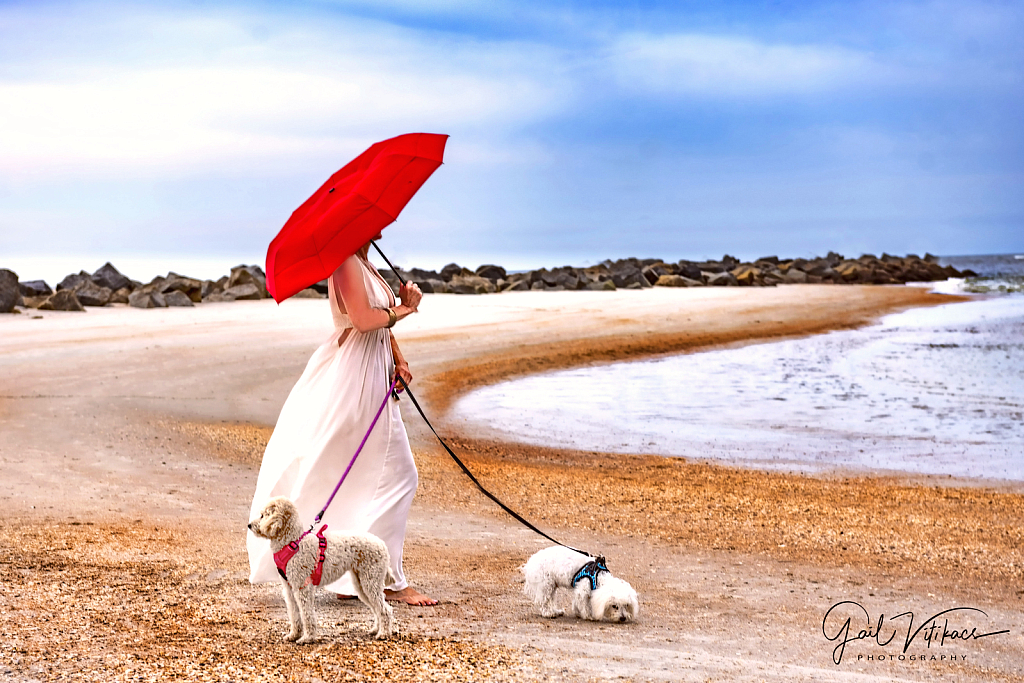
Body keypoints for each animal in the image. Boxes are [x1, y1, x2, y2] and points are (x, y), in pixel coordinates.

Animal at [247, 499, 395, 643]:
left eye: (263, 515)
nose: (249, 525)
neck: (292, 543)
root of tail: (383, 545)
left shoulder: (303, 587)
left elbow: (306, 614)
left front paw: (307, 638)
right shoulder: (289, 588)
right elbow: (294, 614)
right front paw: (294, 635)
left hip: (371, 581)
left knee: (385, 609)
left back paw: (383, 634)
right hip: (362, 584)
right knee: (377, 608)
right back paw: (376, 630)